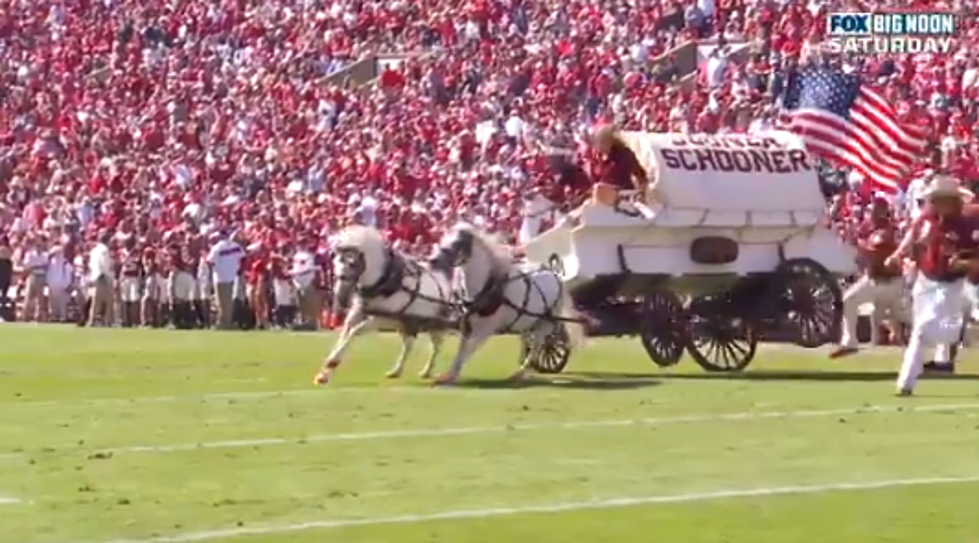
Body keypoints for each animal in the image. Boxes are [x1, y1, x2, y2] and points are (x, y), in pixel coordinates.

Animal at [312, 226, 458, 386]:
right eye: (335, 261)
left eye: (352, 263)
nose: (341, 298)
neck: (384, 281)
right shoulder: (358, 312)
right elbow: (346, 331)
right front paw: (325, 373)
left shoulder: (382, 318)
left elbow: (355, 331)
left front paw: (332, 362)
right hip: (405, 323)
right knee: (409, 345)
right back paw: (396, 371)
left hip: (434, 325)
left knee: (436, 347)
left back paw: (427, 371)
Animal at [428, 223, 580, 384]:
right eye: (443, 238)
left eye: (458, 242)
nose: (432, 260)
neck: (487, 287)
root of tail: (555, 273)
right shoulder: (467, 326)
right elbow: (461, 351)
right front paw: (449, 374)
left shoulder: (484, 331)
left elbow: (467, 352)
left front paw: (449, 377)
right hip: (525, 320)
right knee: (526, 341)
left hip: (545, 323)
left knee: (538, 346)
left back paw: (521, 373)